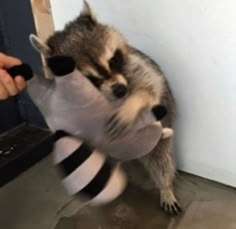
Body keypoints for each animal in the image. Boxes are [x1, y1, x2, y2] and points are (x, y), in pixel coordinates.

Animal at [30, 0, 182, 215]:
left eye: (113, 60)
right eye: (90, 78)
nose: (121, 90)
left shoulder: (135, 66)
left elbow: (150, 84)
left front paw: (131, 105)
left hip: (161, 134)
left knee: (162, 158)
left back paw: (165, 186)